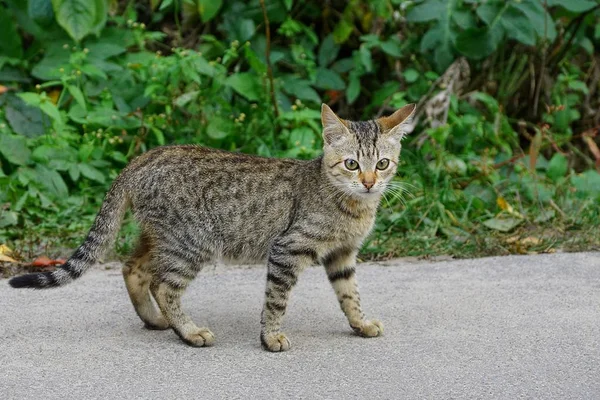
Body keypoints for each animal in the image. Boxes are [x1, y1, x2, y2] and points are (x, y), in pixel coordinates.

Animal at [9, 102, 414, 350]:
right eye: (350, 164)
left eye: (381, 164)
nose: (368, 182)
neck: (354, 207)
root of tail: (141, 158)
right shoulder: (288, 249)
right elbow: (276, 300)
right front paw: (271, 337)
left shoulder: (342, 255)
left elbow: (350, 295)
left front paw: (360, 324)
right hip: (192, 242)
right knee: (163, 285)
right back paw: (188, 332)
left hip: (161, 238)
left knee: (132, 268)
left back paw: (156, 321)